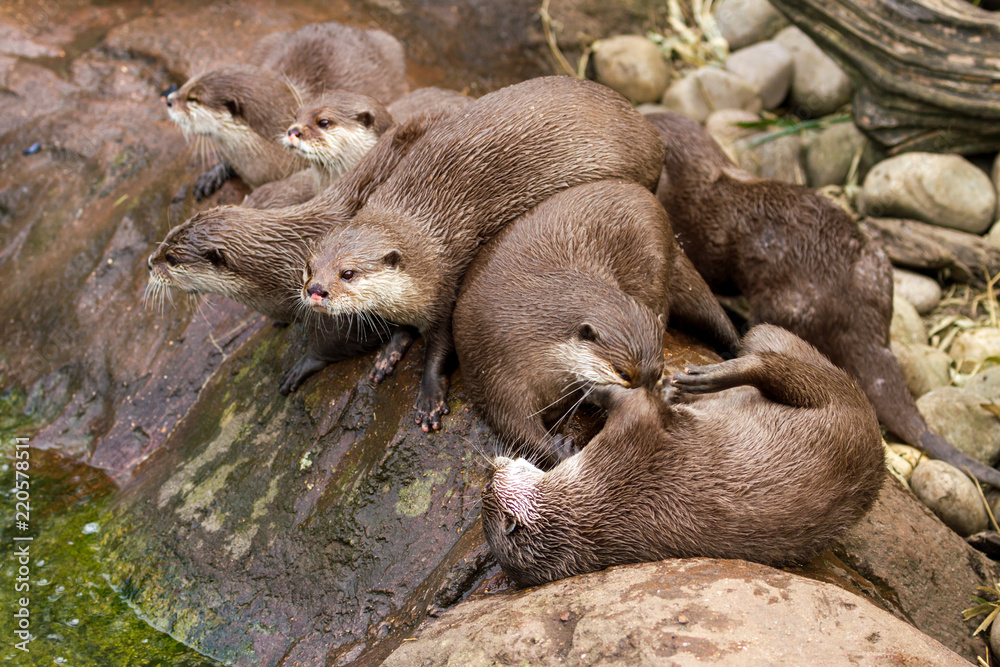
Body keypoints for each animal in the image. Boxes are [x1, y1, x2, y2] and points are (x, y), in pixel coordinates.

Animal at [147, 114, 438, 392]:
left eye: (171, 259)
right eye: (167, 237)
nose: (150, 263)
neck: (283, 264)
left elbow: (335, 342)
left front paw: (303, 365)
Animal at [302, 76, 667, 432]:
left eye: (348, 273)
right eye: (308, 268)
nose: (316, 291)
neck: (427, 237)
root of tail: (652, 135)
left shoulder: (447, 282)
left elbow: (441, 346)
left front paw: (430, 397)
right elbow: (404, 327)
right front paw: (390, 351)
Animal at [453, 180, 740, 465]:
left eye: (659, 373)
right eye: (622, 373)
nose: (648, 405)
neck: (530, 326)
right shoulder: (497, 370)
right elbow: (515, 426)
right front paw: (562, 450)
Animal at [482, 324, 885, 587]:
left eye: (486, 485)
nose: (492, 465)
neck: (589, 498)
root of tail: (878, 457)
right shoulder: (630, 444)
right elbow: (633, 402)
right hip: (837, 401)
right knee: (770, 362)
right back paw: (701, 380)